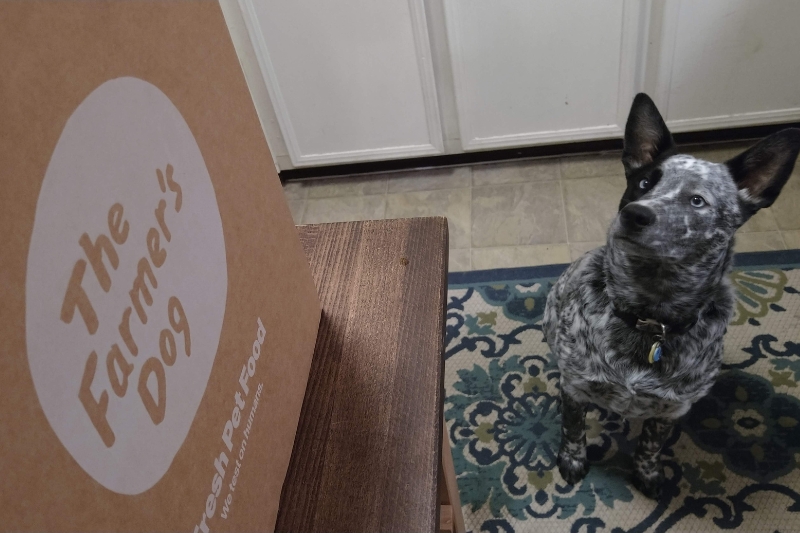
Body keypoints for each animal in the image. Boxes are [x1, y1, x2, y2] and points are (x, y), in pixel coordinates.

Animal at [544, 94, 800, 498]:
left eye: (697, 201)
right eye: (644, 182)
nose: (634, 214)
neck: (651, 316)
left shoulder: (672, 410)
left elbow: (651, 444)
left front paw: (647, 473)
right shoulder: (575, 388)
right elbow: (573, 430)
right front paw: (572, 461)